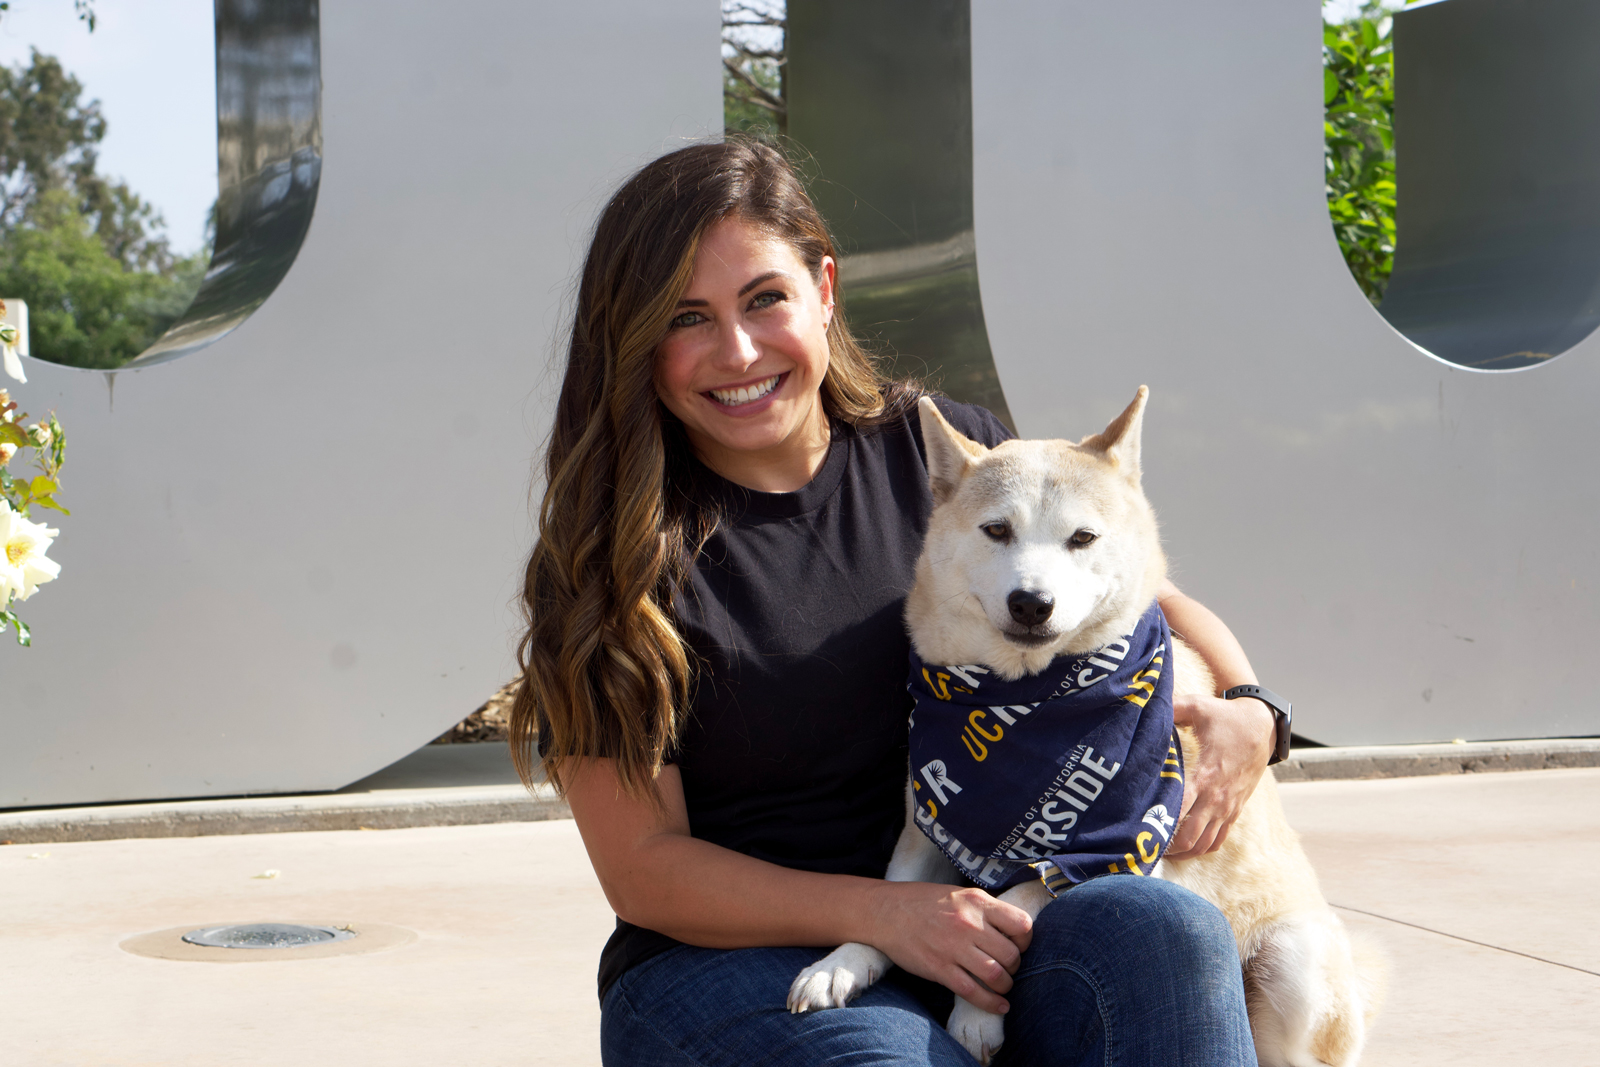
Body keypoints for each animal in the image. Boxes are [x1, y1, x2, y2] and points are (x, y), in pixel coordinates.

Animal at [790, 390, 1388, 1067]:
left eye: (1082, 538)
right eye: (997, 530)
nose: (1031, 602)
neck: (1030, 702)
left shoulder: (1119, 849)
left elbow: (1008, 906)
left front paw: (975, 1012)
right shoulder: (925, 830)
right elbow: (894, 904)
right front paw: (842, 964)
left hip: (1293, 965)